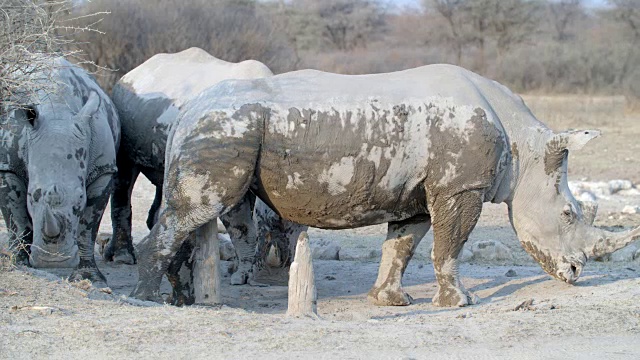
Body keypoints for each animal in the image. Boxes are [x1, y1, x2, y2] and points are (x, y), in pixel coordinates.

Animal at [0, 58, 120, 286]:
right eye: (32, 196)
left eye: (80, 198)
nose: (53, 261)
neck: (58, 113)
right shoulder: (7, 165)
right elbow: (16, 220)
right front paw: (19, 264)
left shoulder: (104, 170)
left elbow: (88, 228)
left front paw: (90, 278)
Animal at [108, 47, 308, 290]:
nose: (279, 273)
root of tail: (134, 72)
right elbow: (241, 225)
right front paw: (239, 273)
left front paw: (236, 268)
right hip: (122, 104)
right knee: (125, 172)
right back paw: (124, 257)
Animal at [130, 64, 640, 306]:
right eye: (569, 214)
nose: (576, 274)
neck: (524, 146)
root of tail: (186, 111)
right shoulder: (460, 187)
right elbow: (450, 245)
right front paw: (460, 302)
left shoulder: (414, 193)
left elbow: (403, 245)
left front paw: (391, 300)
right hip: (222, 128)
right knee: (197, 210)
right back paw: (150, 300)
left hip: (216, 128)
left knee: (191, 213)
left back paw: (179, 298)